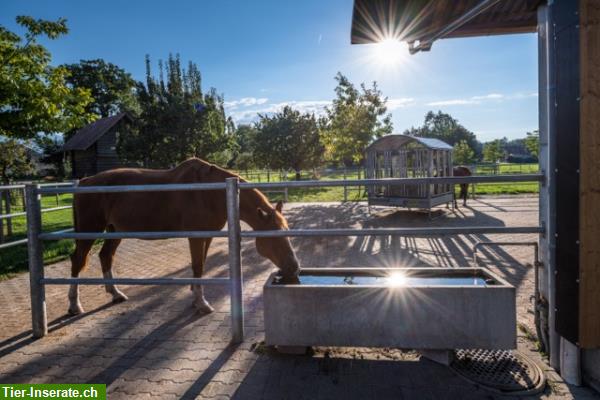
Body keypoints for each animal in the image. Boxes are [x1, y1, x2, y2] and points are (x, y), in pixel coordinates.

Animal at [68, 158, 300, 314]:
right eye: (274, 238)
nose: (294, 268)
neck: (212, 192)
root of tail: (84, 182)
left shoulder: (207, 236)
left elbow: (201, 265)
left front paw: (196, 296)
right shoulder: (196, 237)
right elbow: (197, 266)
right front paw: (202, 303)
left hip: (115, 230)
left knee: (105, 256)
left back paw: (116, 293)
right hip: (91, 229)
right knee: (78, 260)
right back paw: (74, 305)